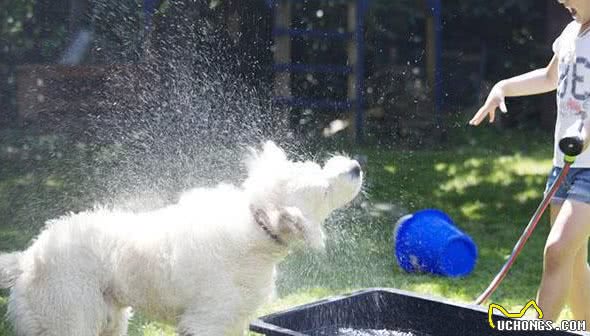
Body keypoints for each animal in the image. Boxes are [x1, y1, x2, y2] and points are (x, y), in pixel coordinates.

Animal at [0, 142, 366, 336]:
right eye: (324, 190)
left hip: (110, 321)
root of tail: (28, 259)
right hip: (69, 321)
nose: (356, 167)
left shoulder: (233, 321)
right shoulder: (207, 322)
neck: (256, 227)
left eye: (319, 168)